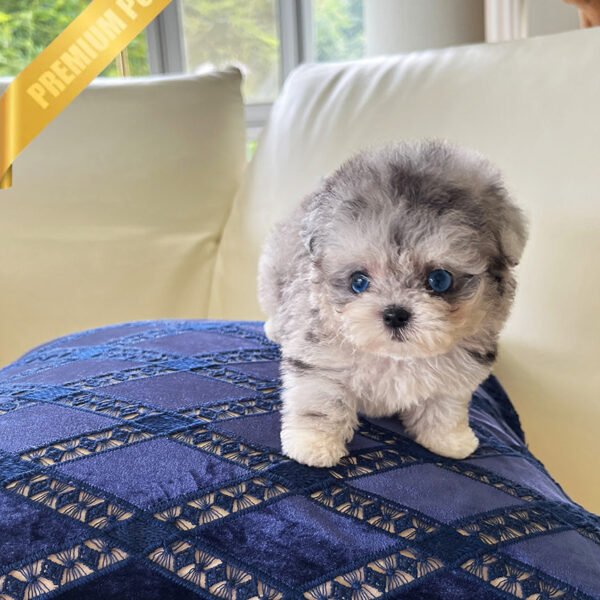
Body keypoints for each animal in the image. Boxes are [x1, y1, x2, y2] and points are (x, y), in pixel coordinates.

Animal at [258, 140, 528, 467]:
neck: (396, 356)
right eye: (358, 281)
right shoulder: (321, 358)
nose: (395, 314)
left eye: (439, 280)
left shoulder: (457, 374)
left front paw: (449, 440)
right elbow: (322, 400)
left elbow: (445, 405)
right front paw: (314, 444)